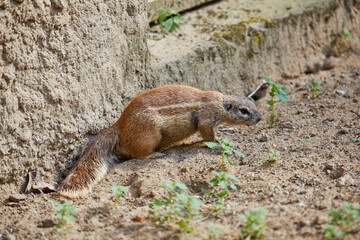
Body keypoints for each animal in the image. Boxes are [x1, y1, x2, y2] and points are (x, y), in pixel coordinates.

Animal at [57, 85, 262, 198]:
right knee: (133, 154)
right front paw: (218, 142)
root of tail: (119, 125)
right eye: (244, 110)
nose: (260, 118)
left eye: (253, 104)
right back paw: (154, 154)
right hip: (149, 135)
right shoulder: (206, 118)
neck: (220, 103)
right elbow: (207, 135)